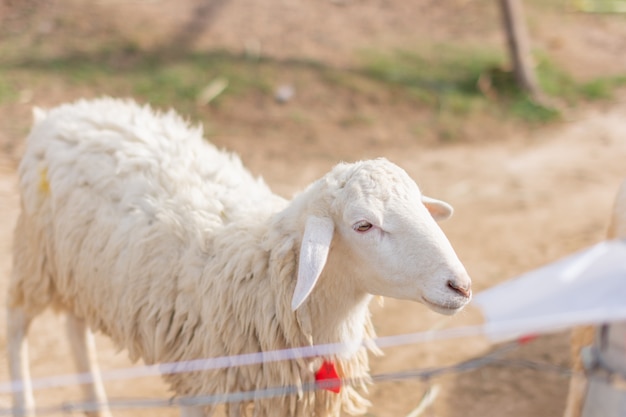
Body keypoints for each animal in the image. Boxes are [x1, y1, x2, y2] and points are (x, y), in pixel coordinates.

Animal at [7, 98, 470, 416]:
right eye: (363, 225)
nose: (461, 286)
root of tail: (61, 112)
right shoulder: (201, 382)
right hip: (34, 256)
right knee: (17, 327)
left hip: (80, 269)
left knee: (75, 326)